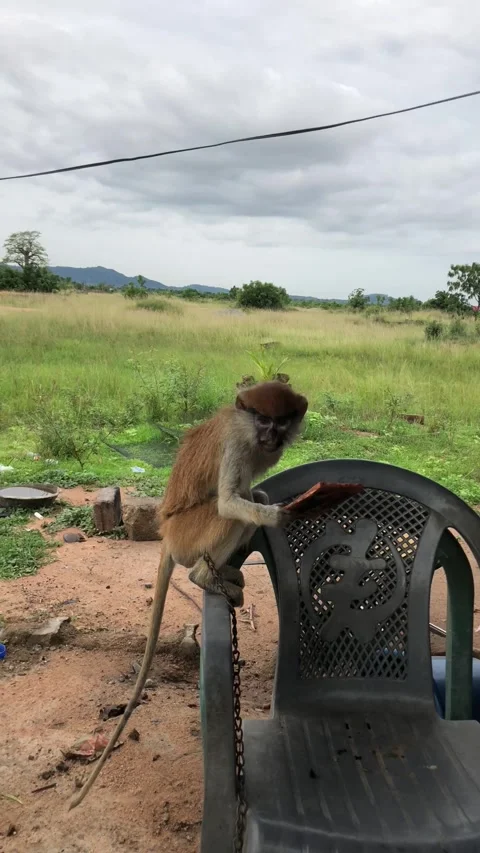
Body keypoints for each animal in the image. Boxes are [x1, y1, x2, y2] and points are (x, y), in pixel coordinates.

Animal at [69, 380, 308, 809]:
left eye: (281, 421)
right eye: (263, 419)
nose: (271, 436)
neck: (246, 428)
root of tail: (166, 532)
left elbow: (250, 496)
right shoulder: (237, 446)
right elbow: (231, 502)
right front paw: (280, 514)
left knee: (252, 498)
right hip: (189, 533)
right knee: (231, 510)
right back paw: (204, 576)